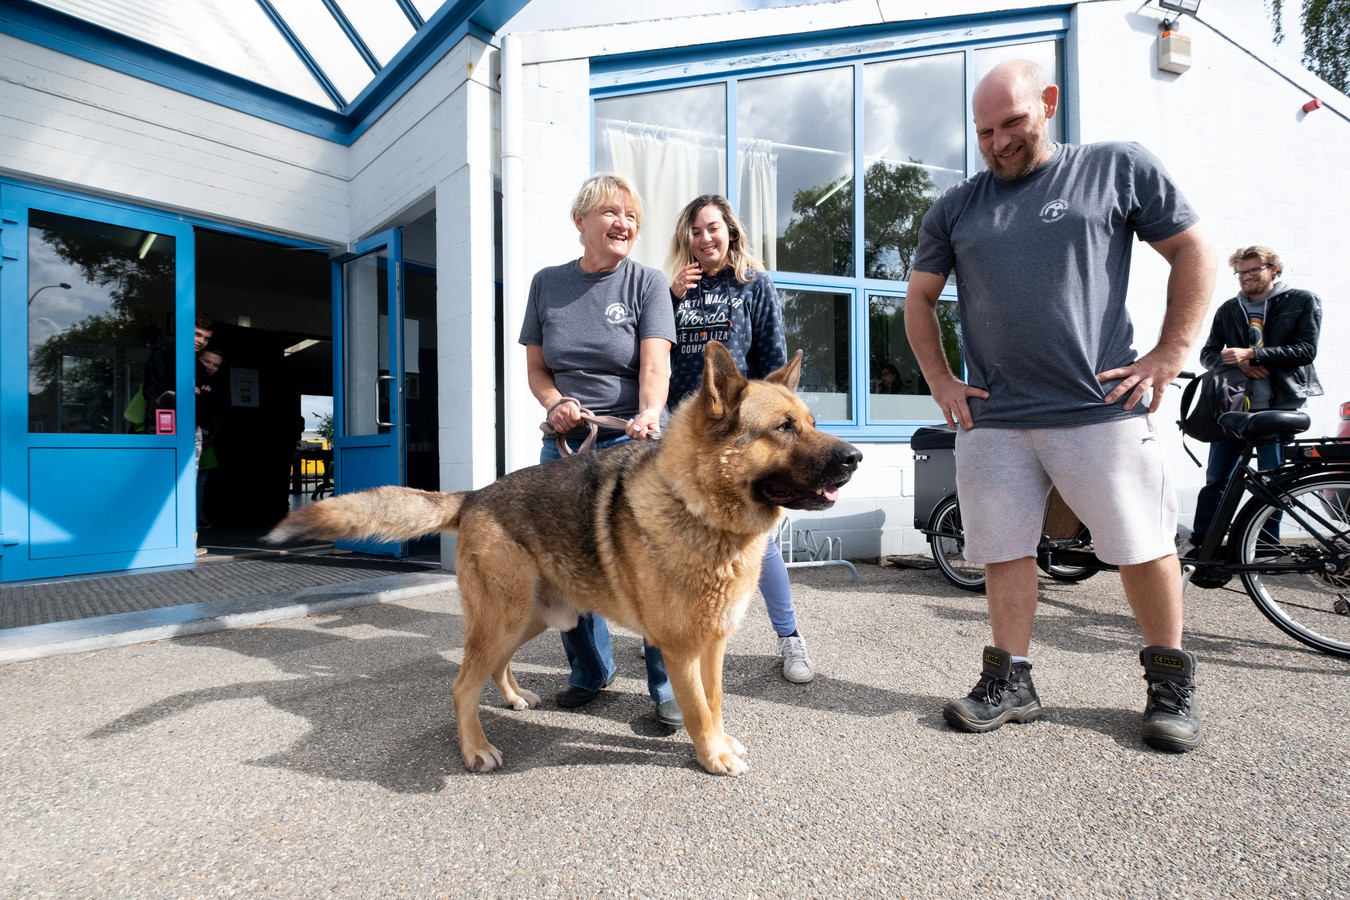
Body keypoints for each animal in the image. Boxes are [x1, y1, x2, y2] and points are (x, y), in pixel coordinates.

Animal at [263, 341, 858, 777]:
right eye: (784, 428)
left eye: (809, 421)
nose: (855, 457)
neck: (696, 507)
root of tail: (475, 495)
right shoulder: (681, 648)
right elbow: (694, 707)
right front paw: (711, 756)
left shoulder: (711, 645)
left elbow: (713, 700)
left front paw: (719, 740)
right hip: (507, 617)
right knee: (461, 684)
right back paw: (474, 749)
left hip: (536, 617)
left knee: (490, 666)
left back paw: (512, 697)